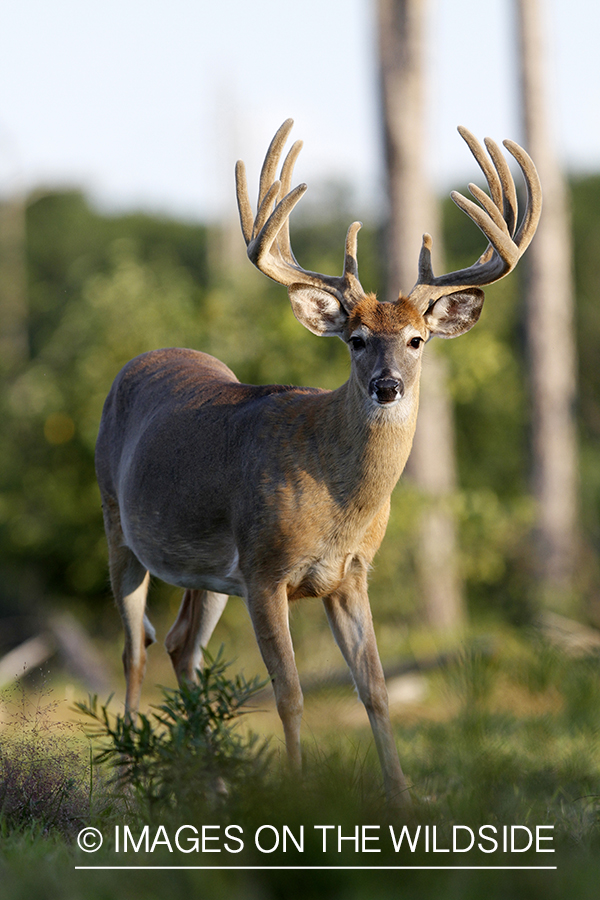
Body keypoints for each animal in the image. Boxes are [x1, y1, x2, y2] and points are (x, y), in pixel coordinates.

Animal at [96, 116, 540, 804]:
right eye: (356, 340)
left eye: (417, 340)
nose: (387, 385)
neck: (339, 502)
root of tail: (141, 359)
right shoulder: (266, 568)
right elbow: (291, 693)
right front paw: (298, 792)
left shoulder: (350, 574)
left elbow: (376, 689)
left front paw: (402, 796)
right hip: (119, 523)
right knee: (134, 649)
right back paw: (125, 785)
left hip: (209, 571)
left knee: (179, 645)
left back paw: (214, 785)